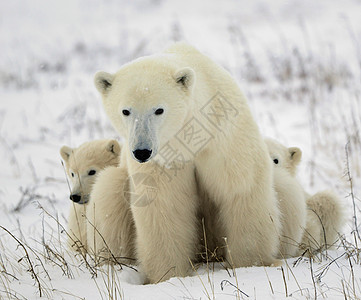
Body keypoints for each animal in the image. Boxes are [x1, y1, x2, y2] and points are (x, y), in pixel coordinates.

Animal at [94, 42, 280, 284]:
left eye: (159, 109)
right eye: (125, 110)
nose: (142, 151)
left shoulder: (222, 140)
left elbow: (240, 190)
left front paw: (249, 264)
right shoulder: (164, 162)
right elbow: (164, 207)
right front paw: (169, 275)